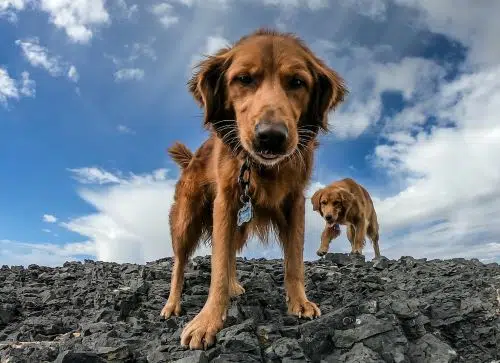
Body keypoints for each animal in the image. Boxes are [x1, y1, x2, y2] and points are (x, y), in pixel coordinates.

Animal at [162, 29, 346, 352]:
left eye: (297, 82)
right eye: (244, 79)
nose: (271, 137)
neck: (261, 168)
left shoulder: (294, 202)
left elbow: (294, 261)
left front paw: (299, 302)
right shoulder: (225, 202)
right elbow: (217, 268)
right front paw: (208, 320)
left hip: (240, 223)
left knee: (230, 253)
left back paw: (235, 286)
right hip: (186, 219)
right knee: (180, 263)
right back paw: (172, 304)